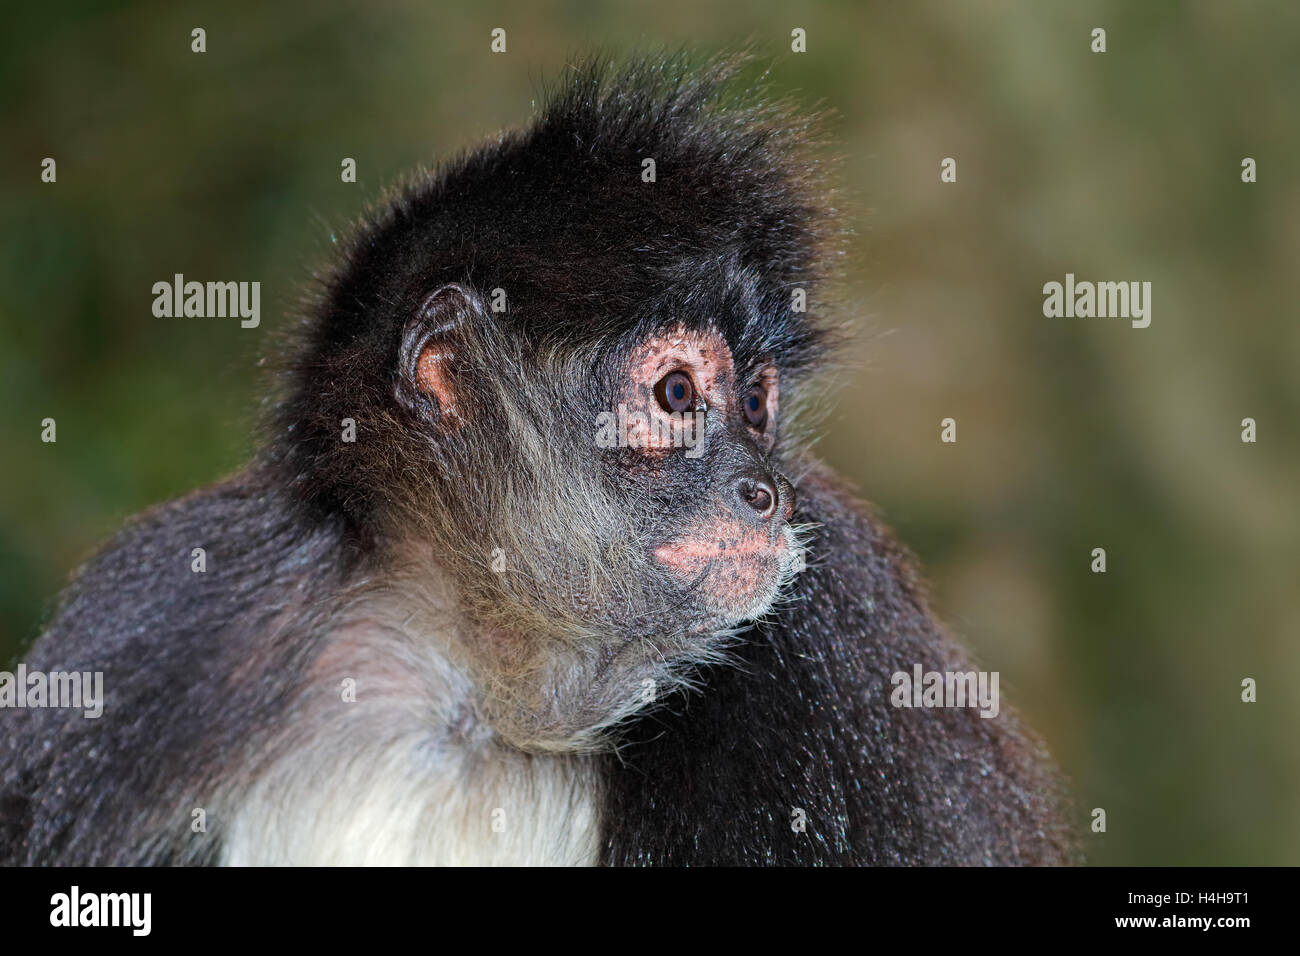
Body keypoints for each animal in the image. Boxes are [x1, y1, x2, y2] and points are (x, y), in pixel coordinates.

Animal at [2, 55, 1076, 868]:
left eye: (757, 404)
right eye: (676, 395)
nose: (766, 495)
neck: (481, 698)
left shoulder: (835, 625)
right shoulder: (180, 619)